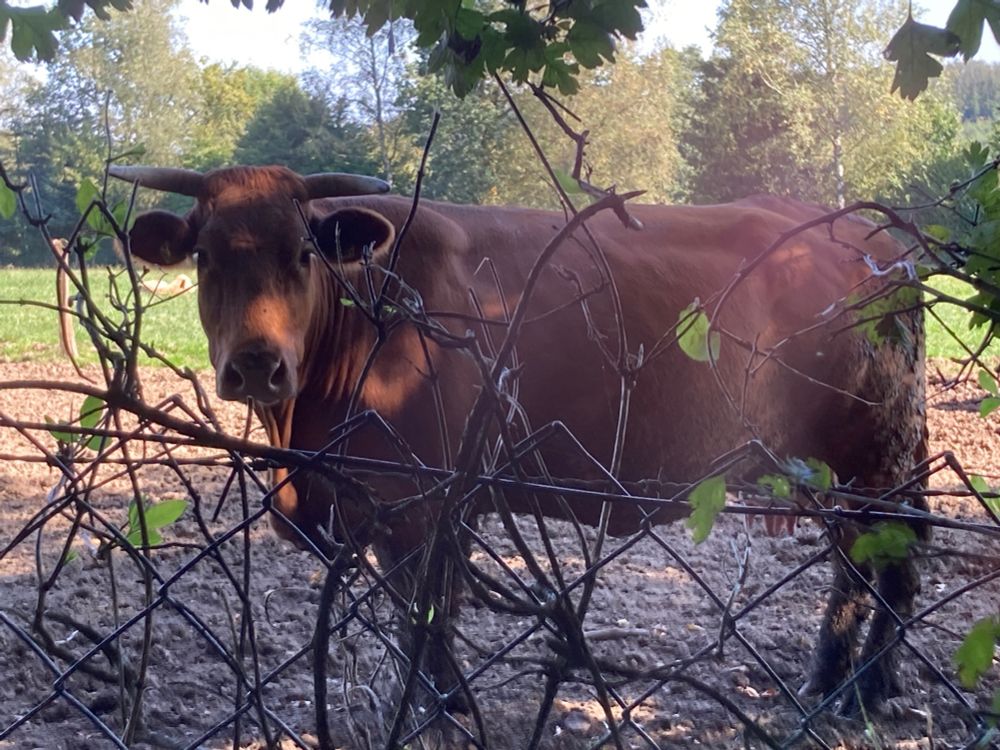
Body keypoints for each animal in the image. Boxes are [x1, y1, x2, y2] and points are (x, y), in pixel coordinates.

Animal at [108, 164, 927, 718]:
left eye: (303, 254)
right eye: (206, 257)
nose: (257, 364)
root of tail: (874, 239)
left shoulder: (427, 503)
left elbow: (428, 617)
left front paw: (439, 709)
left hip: (871, 453)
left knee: (883, 553)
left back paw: (851, 687)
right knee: (874, 556)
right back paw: (851, 681)